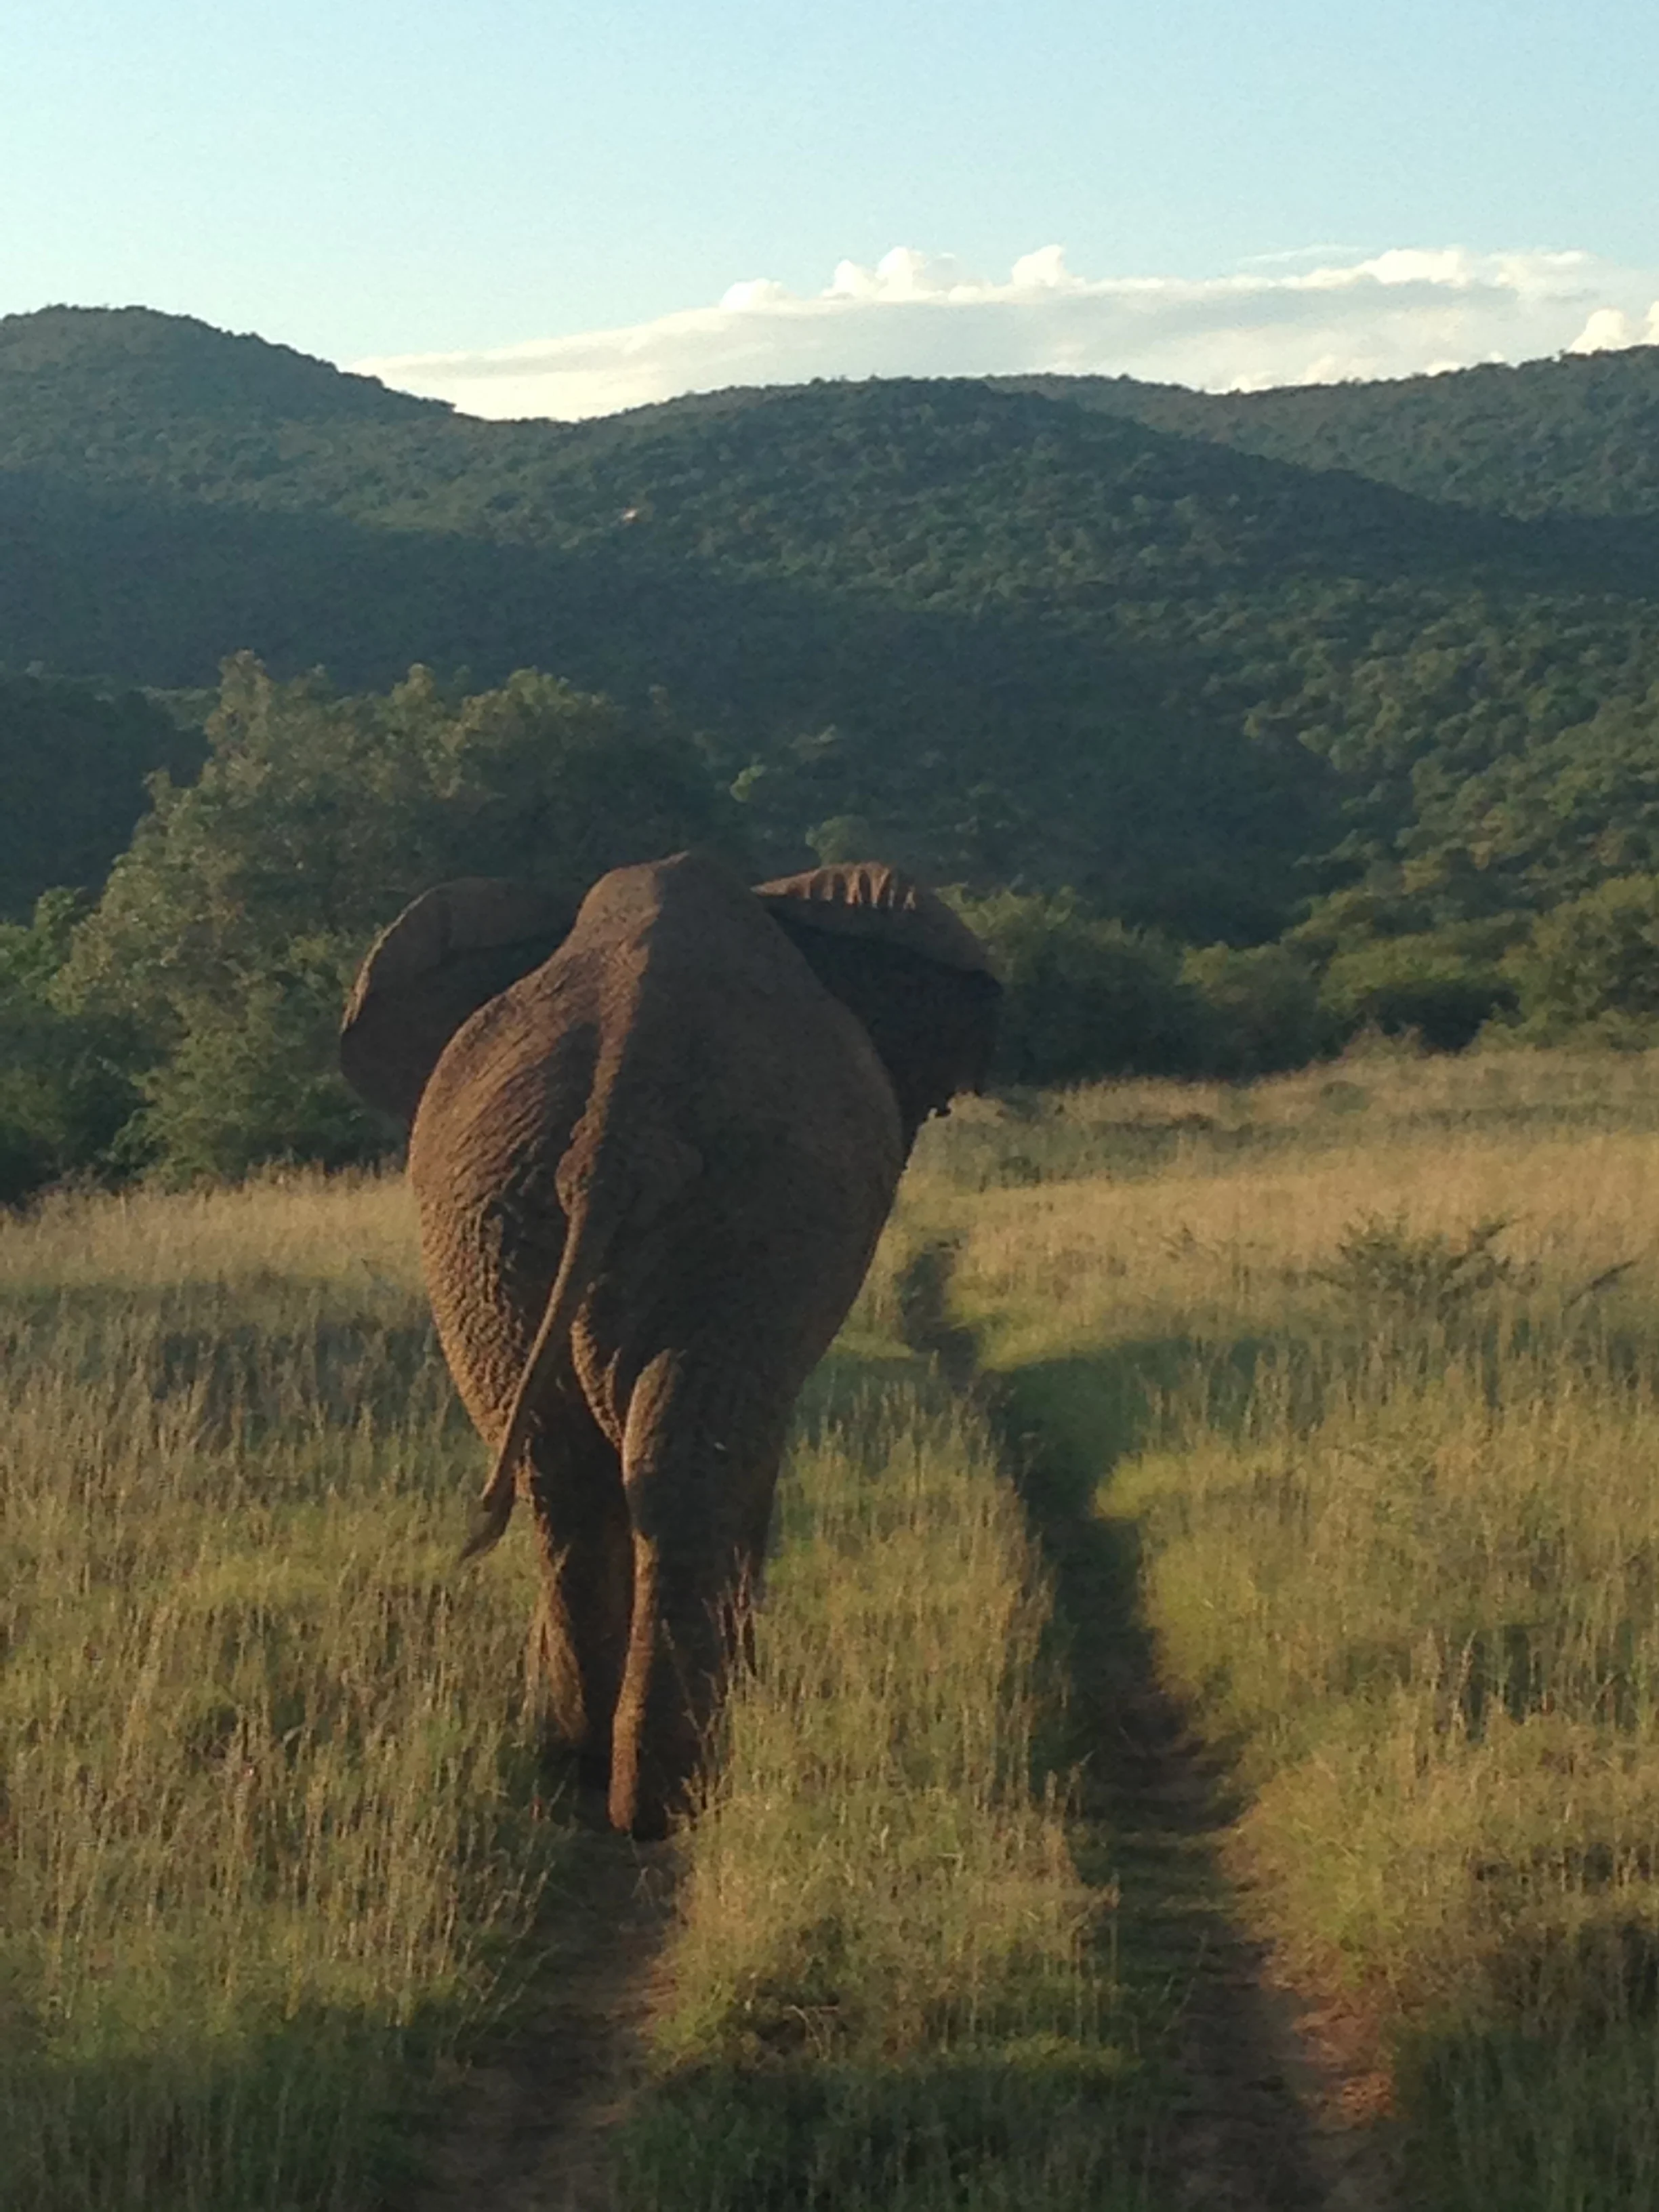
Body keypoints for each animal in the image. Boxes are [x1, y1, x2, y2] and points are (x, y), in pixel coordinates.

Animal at [339, 850, 999, 1836]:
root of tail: (618, 1119)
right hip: (741, 1209)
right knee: (684, 1459)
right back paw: (669, 1791)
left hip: (501, 1220)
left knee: (574, 1472)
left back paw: (590, 1767)